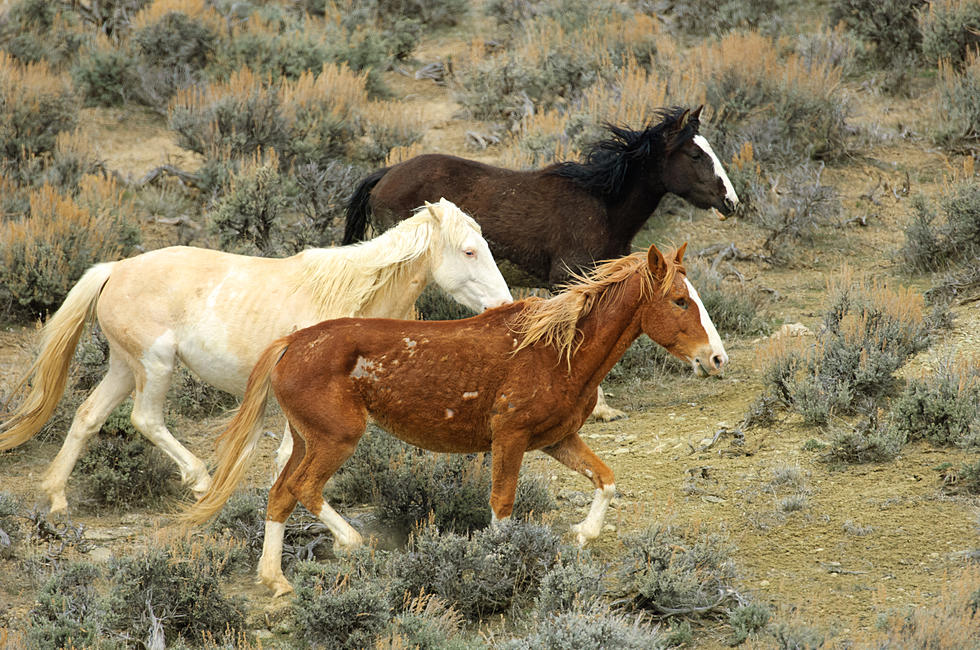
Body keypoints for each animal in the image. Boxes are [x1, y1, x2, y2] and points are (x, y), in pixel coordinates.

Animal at [0, 197, 510, 512]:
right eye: (469, 251)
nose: (504, 304)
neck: (350, 296)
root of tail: (114, 269)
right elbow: (287, 457)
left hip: (125, 367)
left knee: (87, 416)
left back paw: (57, 498)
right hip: (154, 365)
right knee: (146, 419)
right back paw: (201, 482)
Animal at [180, 242, 728, 592]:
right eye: (680, 300)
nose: (717, 358)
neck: (558, 350)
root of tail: (291, 343)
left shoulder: (557, 439)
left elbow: (606, 479)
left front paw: (582, 534)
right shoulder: (510, 437)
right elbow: (503, 505)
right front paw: (504, 563)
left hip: (305, 437)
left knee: (279, 495)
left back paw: (275, 580)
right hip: (337, 438)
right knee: (303, 489)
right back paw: (354, 544)